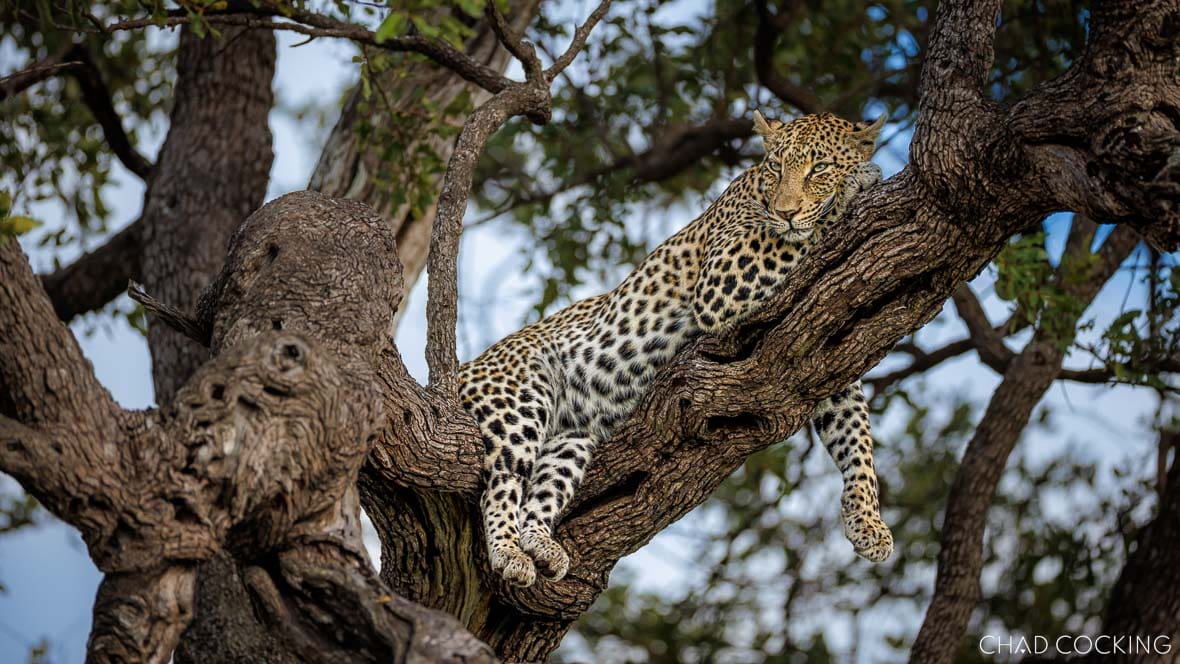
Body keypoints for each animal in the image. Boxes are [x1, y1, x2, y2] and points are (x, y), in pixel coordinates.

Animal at [459, 110, 894, 588]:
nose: (786, 211)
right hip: (518, 397)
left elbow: (856, 438)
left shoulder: (825, 352)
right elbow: (797, 235)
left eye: (819, 168)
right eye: (777, 167)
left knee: (538, 491)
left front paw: (868, 522)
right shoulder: (725, 275)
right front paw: (856, 186)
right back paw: (507, 553)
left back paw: (539, 545)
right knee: (501, 482)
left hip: (569, 440)